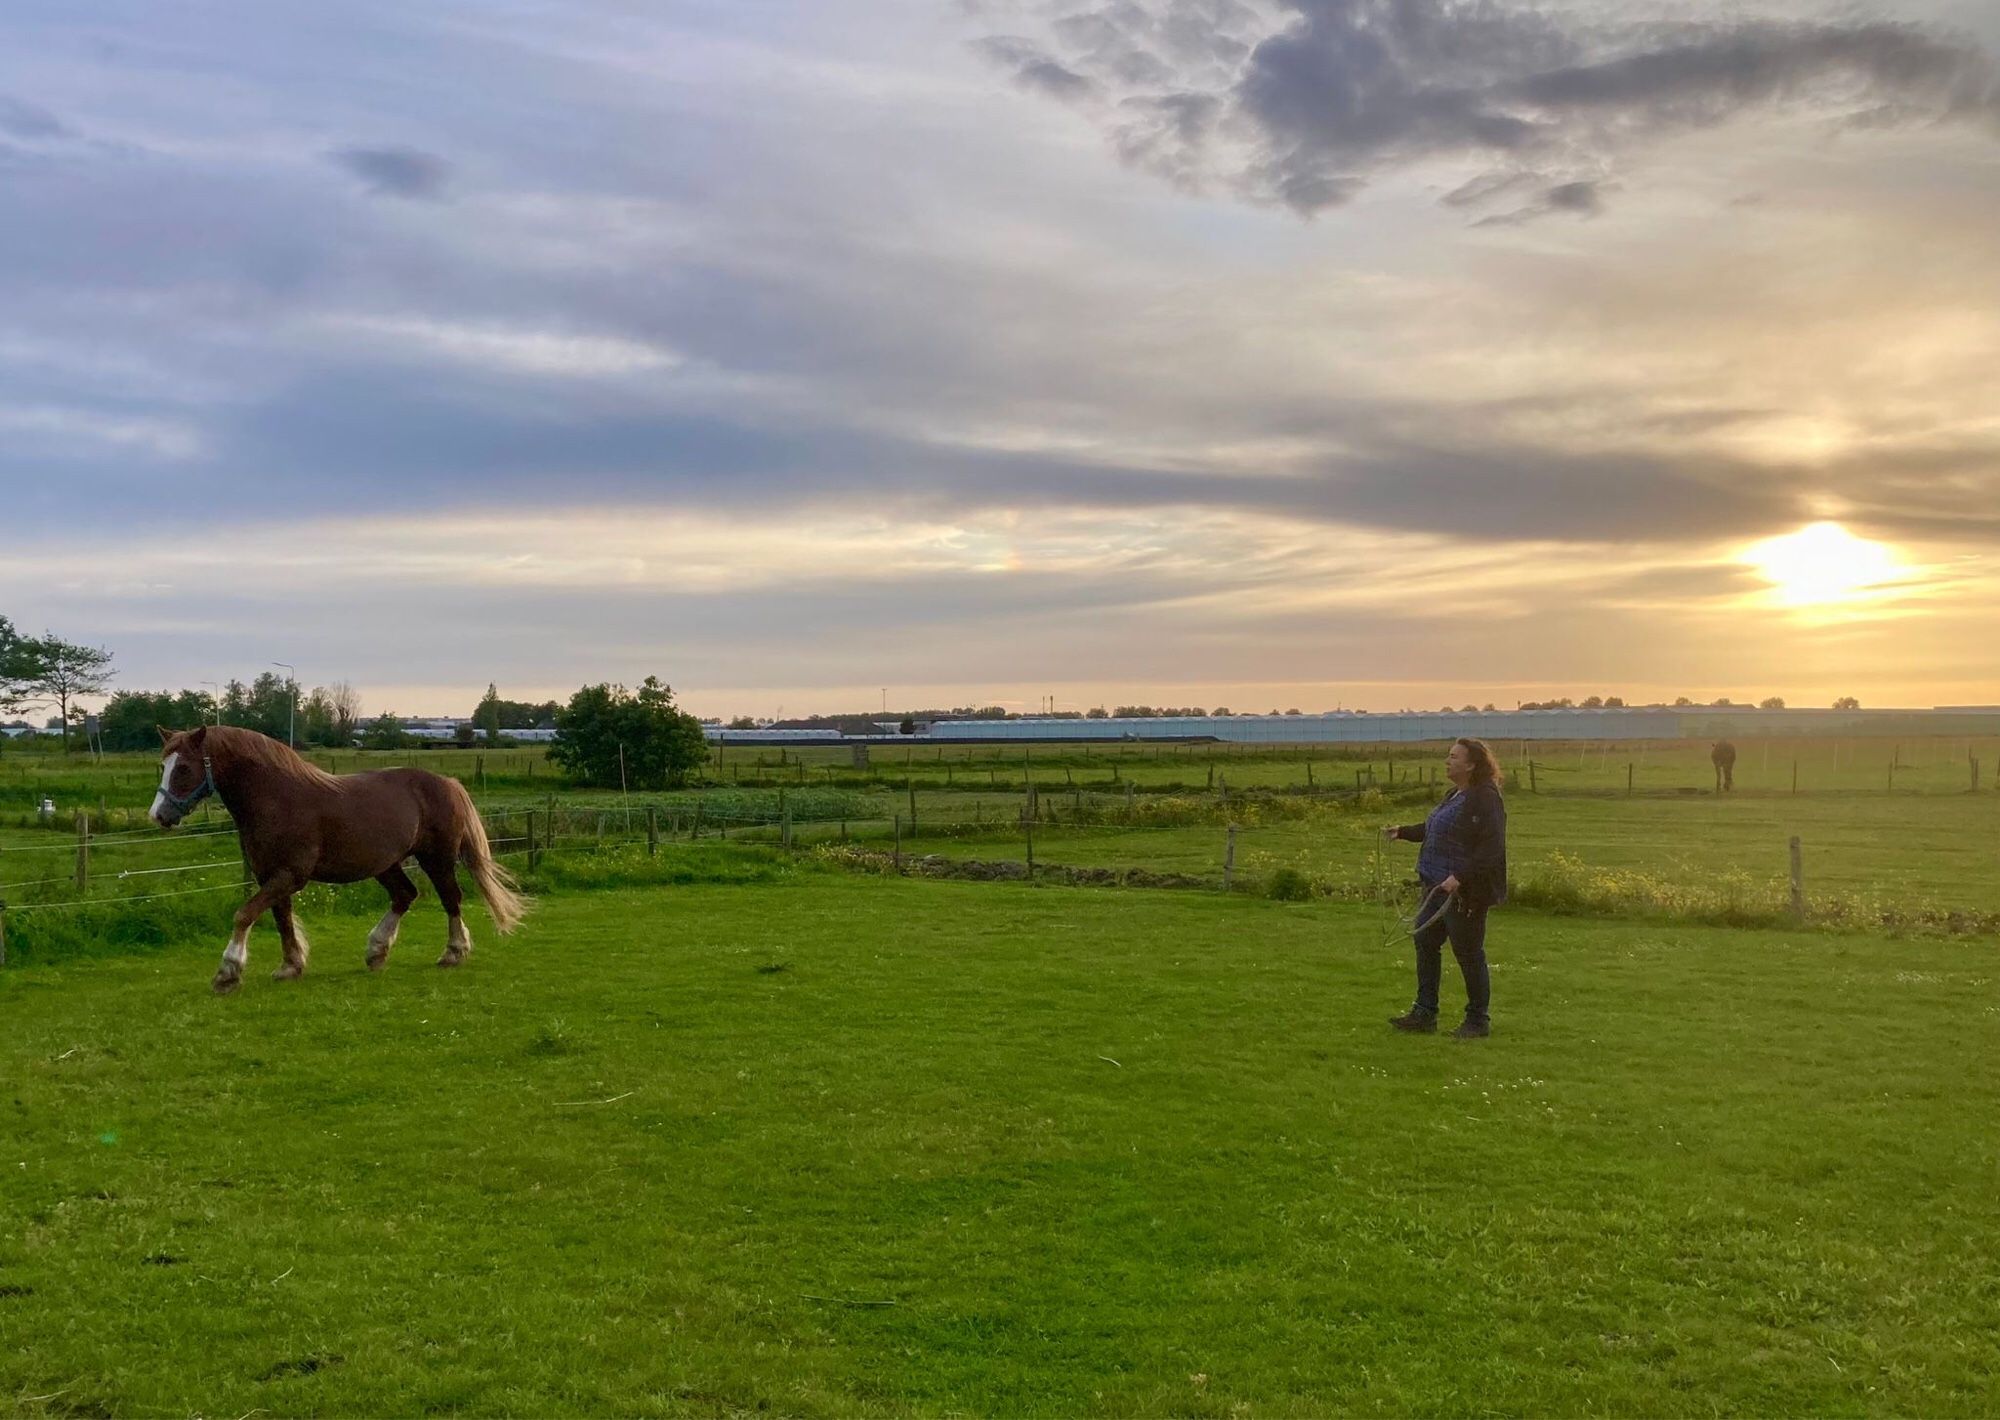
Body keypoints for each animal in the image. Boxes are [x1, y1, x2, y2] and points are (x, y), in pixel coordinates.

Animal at [149, 728, 528, 996]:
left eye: (183, 768)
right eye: (163, 766)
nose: (159, 815)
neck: (276, 798)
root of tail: (448, 783)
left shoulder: (289, 875)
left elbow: (244, 915)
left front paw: (227, 973)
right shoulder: (270, 876)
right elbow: (282, 920)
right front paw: (290, 966)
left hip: (437, 859)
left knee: (451, 899)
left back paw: (453, 952)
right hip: (385, 864)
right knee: (405, 895)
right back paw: (376, 951)